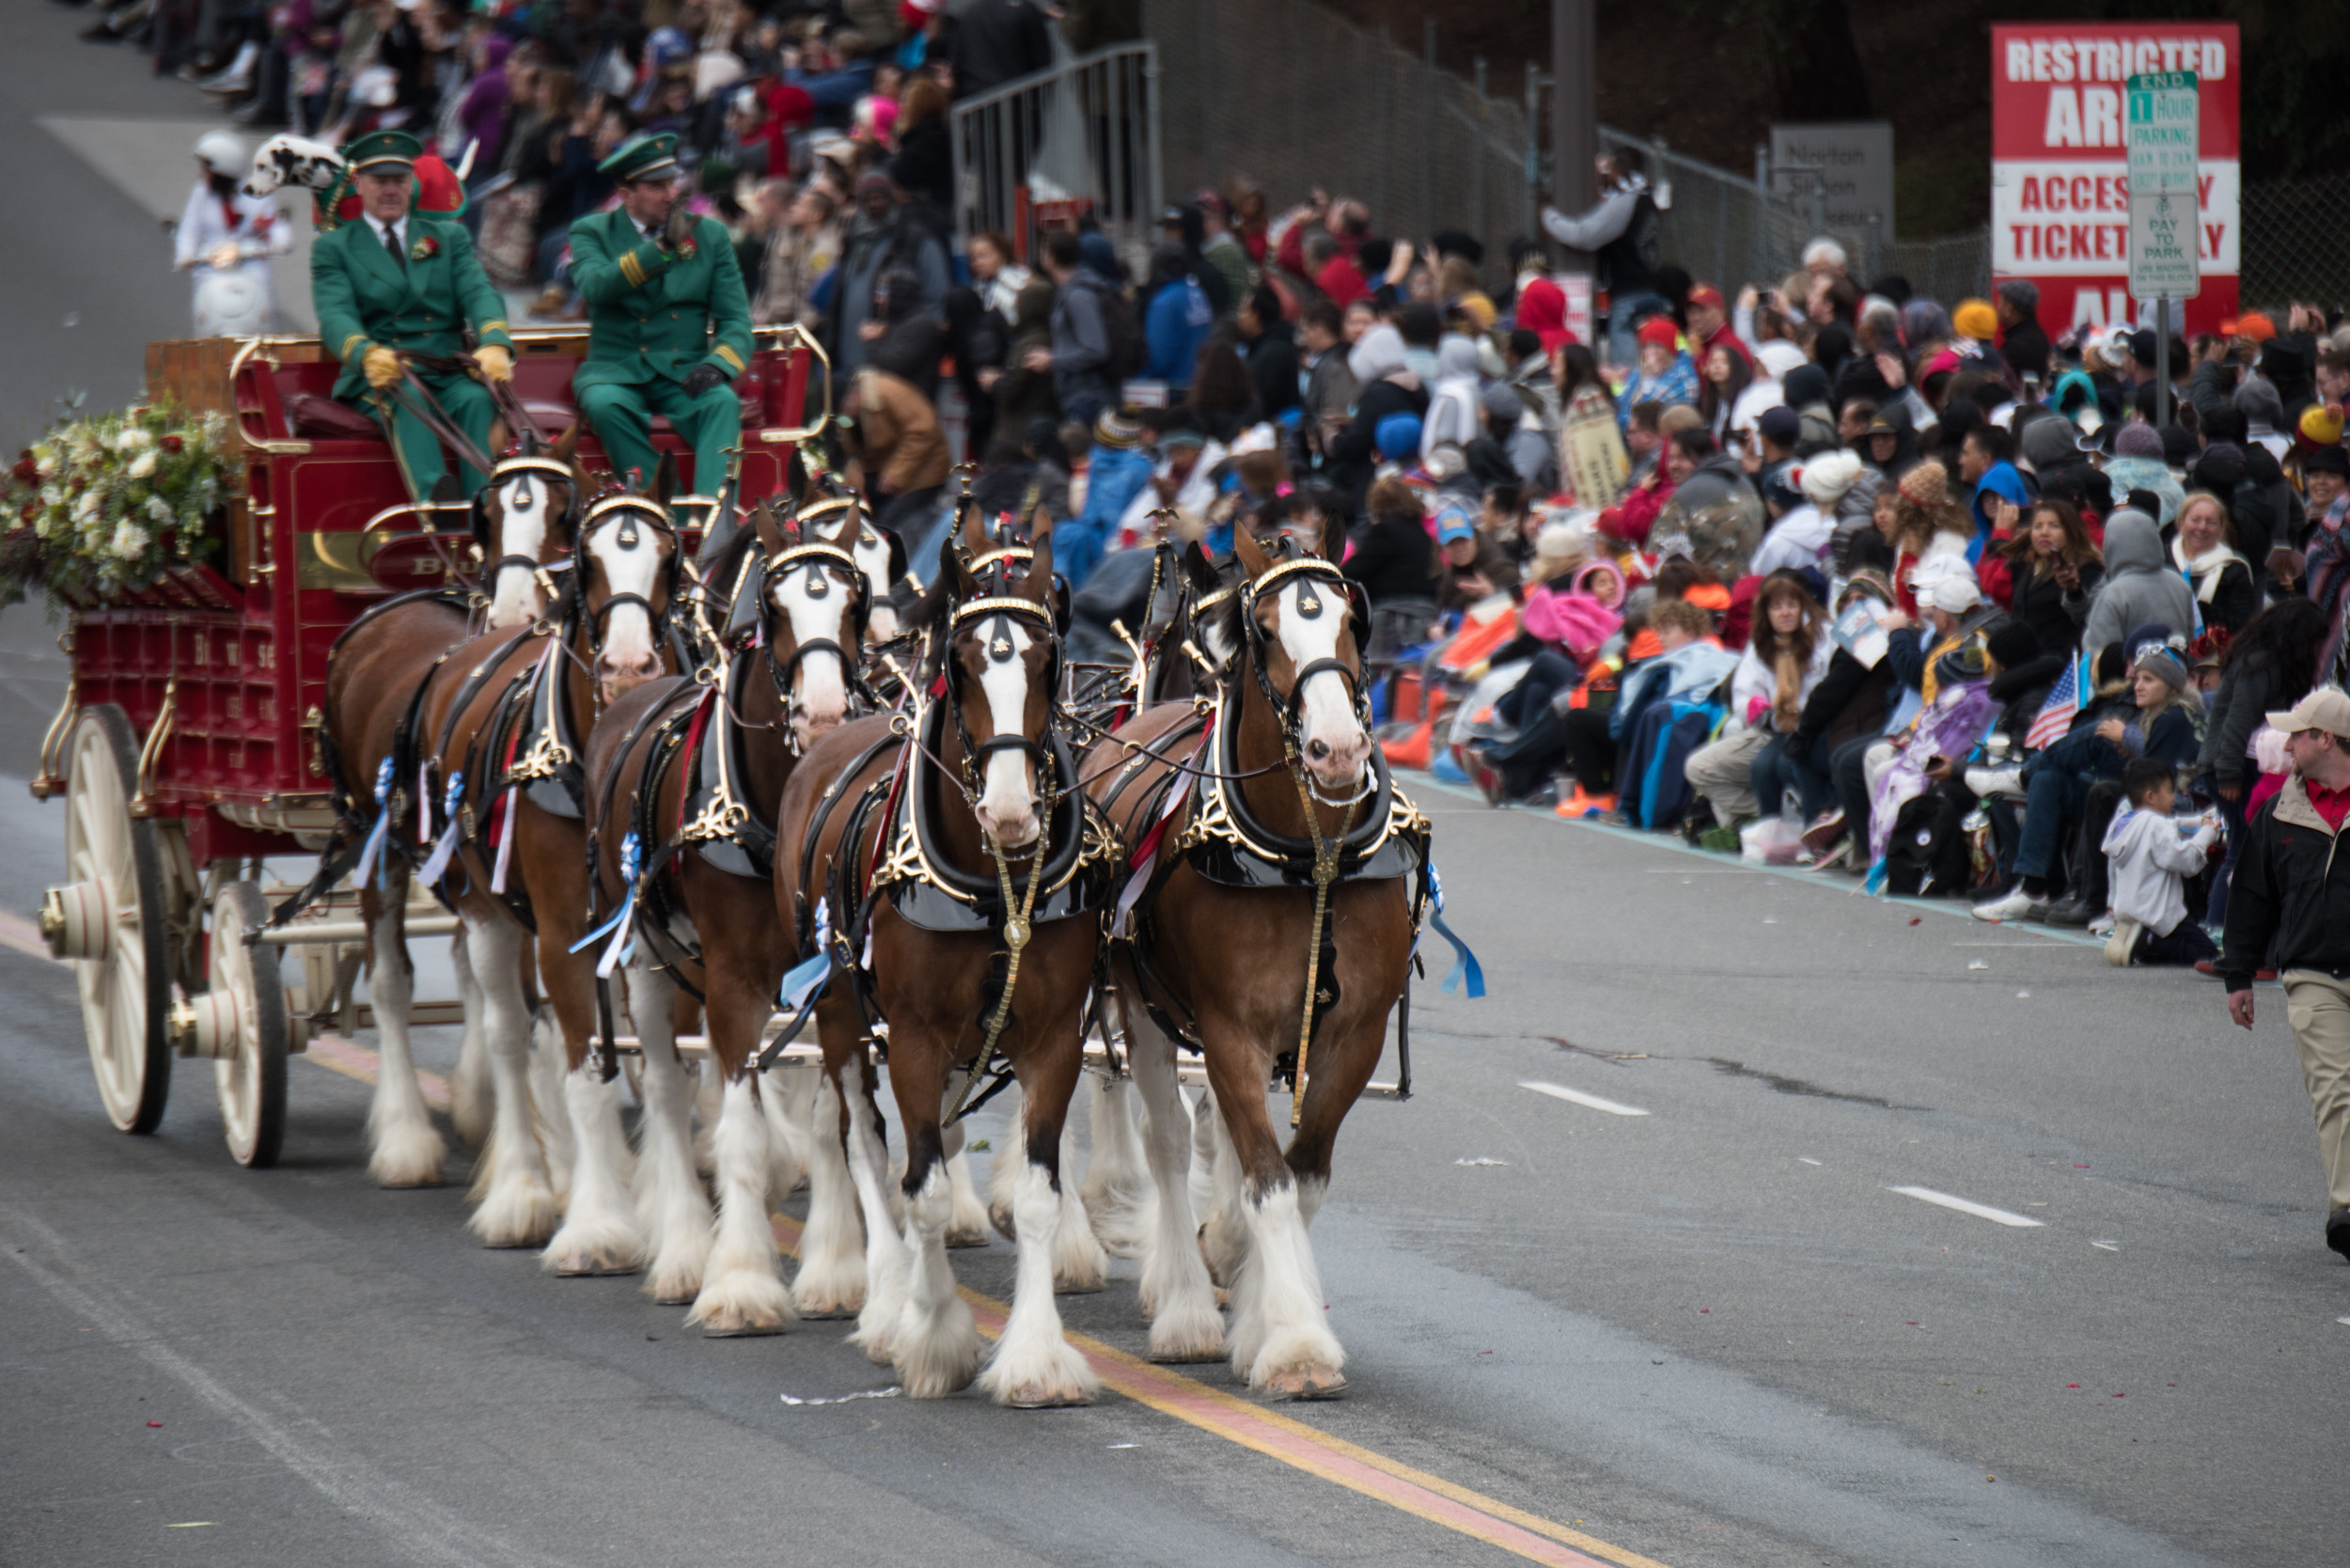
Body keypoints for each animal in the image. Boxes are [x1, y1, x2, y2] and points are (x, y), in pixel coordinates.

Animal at [1086, 524, 1410, 1401]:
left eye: (1352, 619)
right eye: (1262, 631)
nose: (1338, 751)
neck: (1310, 861)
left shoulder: (1353, 1038)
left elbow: (1302, 1175)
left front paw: (1262, 1300)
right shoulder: (1228, 1029)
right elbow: (1265, 1179)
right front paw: (1294, 1344)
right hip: (1142, 1004)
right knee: (1165, 1140)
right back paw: (1185, 1309)